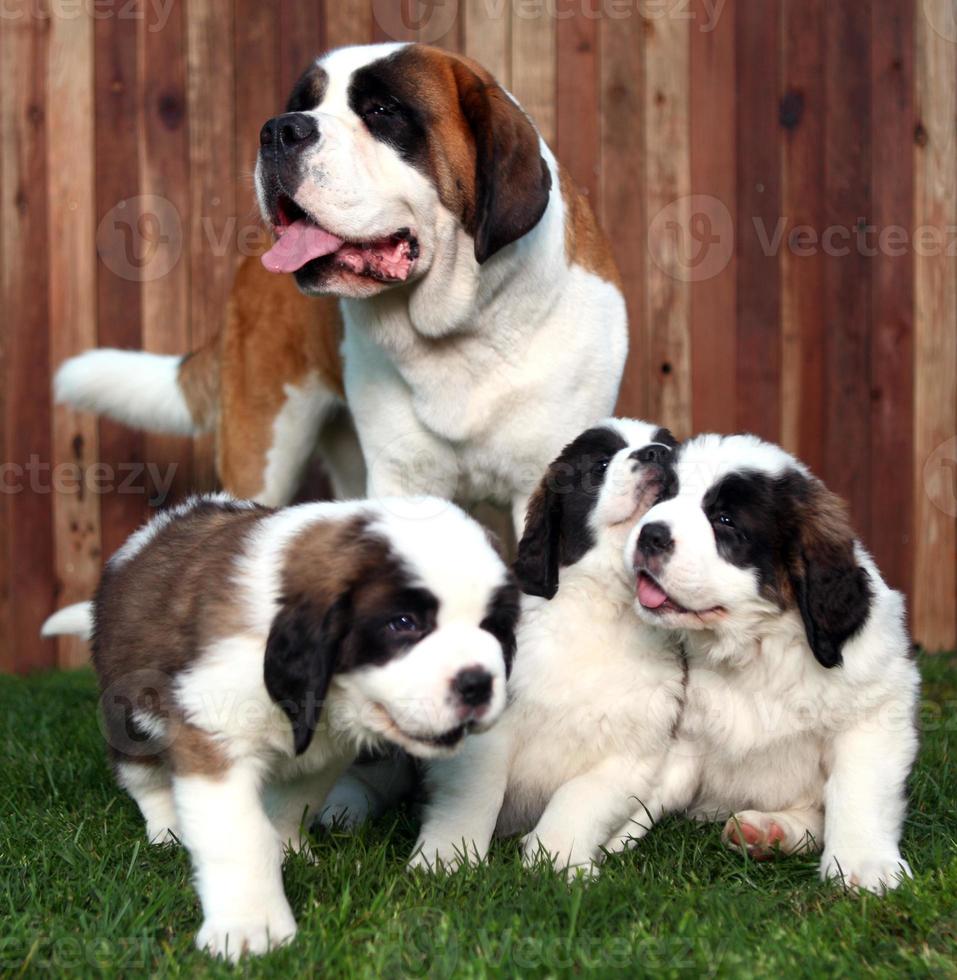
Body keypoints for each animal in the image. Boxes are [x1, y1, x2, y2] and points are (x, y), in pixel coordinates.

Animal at [43, 494, 524, 960]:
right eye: (403, 623)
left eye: (493, 627)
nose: (478, 683)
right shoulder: (213, 734)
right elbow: (241, 835)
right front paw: (249, 927)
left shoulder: (321, 755)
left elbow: (294, 804)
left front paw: (289, 850)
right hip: (130, 715)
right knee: (144, 778)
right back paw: (167, 826)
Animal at [54, 44, 628, 528]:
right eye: (301, 105)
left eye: (381, 111)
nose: (278, 130)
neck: (466, 327)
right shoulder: (403, 481)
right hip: (265, 448)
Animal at [410, 418, 688, 876]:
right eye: (600, 465)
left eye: (671, 450)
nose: (657, 455)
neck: (602, 610)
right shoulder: (488, 728)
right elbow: (476, 792)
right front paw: (447, 857)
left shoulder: (632, 752)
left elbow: (579, 799)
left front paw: (559, 861)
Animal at [612, 436, 920, 896]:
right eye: (663, 497)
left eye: (724, 520)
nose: (650, 534)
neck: (755, 648)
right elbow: (643, 786)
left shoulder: (873, 711)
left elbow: (857, 788)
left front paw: (863, 863)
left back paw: (772, 829)